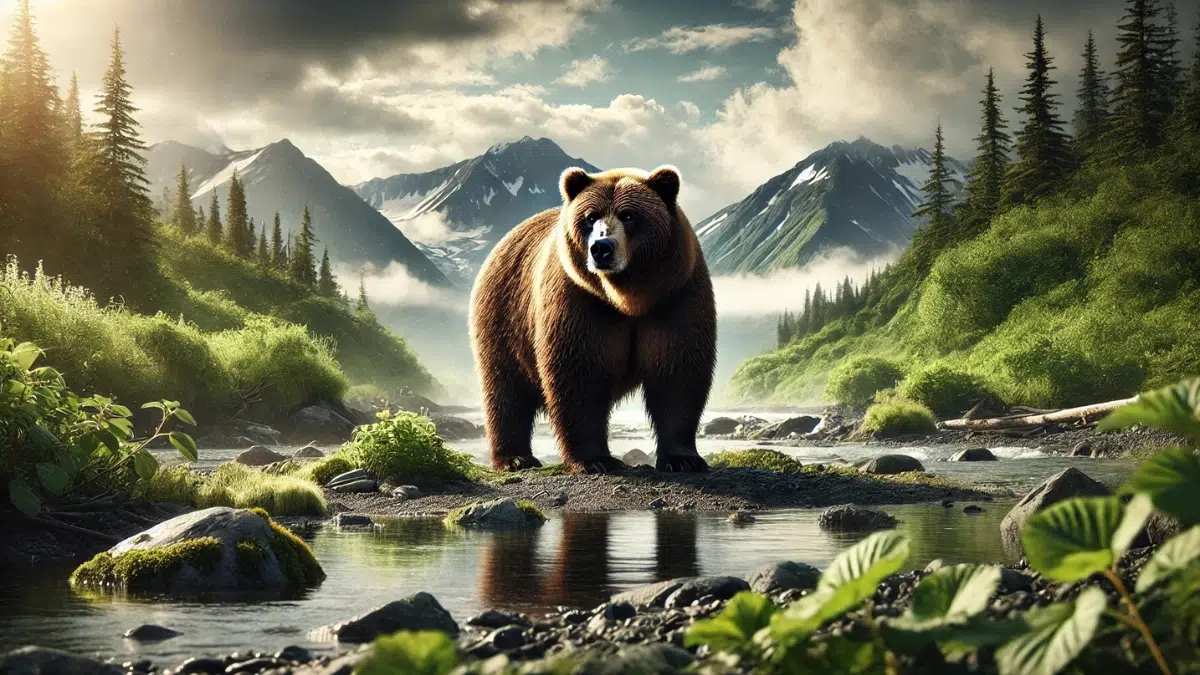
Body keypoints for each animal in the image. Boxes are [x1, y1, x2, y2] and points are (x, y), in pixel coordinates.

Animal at [468, 164, 717, 474]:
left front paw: (683, 458)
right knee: (505, 390)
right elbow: (580, 375)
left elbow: (678, 372)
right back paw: (515, 458)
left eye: (628, 215)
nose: (602, 247)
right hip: (504, 316)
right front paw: (595, 459)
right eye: (590, 216)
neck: (629, 298)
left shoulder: (676, 296)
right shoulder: (580, 301)